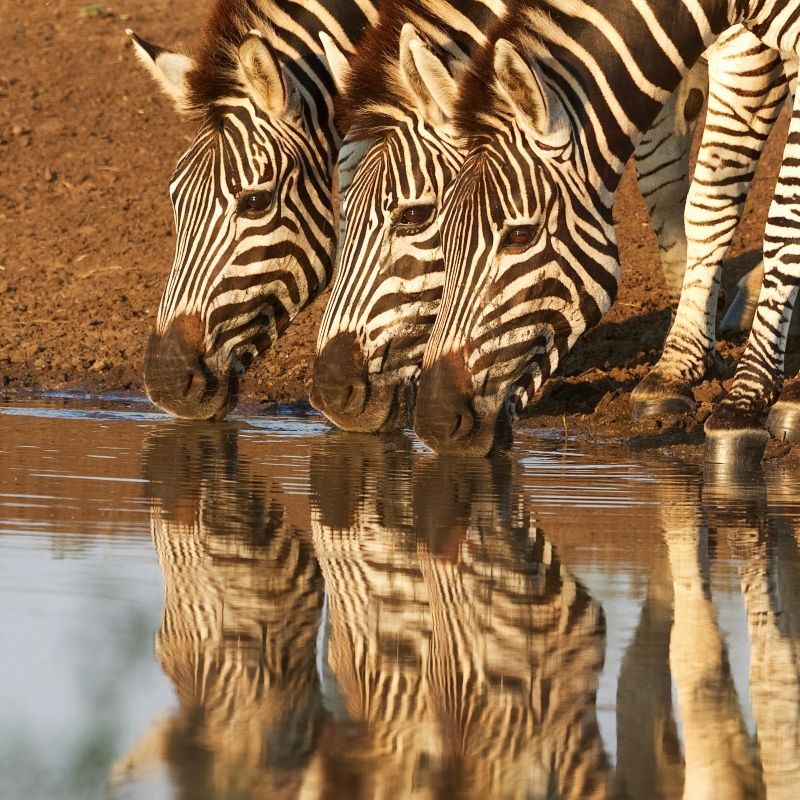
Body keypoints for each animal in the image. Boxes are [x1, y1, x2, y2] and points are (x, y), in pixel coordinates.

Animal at [412, 0, 800, 464]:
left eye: (520, 237)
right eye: (440, 232)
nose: (434, 423)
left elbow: (783, 218)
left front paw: (743, 402)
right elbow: (704, 201)